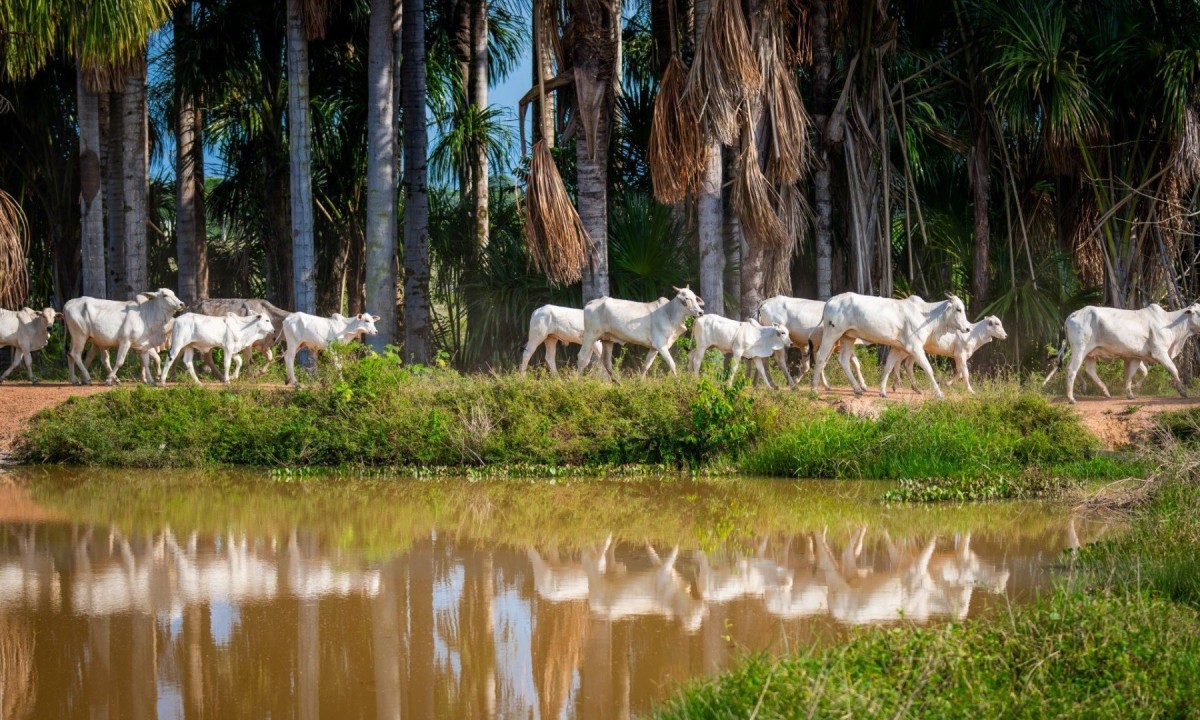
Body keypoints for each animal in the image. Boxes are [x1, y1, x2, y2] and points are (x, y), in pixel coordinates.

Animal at [811, 292, 969, 398]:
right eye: (958, 309)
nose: (967, 328)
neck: (925, 315)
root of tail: (832, 299)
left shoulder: (897, 347)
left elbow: (888, 367)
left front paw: (882, 391)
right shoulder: (915, 347)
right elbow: (928, 369)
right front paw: (939, 393)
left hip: (847, 337)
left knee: (843, 360)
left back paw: (857, 389)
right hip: (832, 333)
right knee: (820, 357)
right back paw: (814, 389)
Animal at [1041, 303, 1200, 405]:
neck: (1169, 323)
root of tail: (1074, 314)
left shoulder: (1135, 357)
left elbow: (1134, 374)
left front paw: (1131, 392)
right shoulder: (1160, 352)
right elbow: (1173, 370)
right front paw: (1183, 392)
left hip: (1089, 353)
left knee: (1088, 370)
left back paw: (1103, 391)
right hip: (1080, 349)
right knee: (1072, 369)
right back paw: (1071, 398)